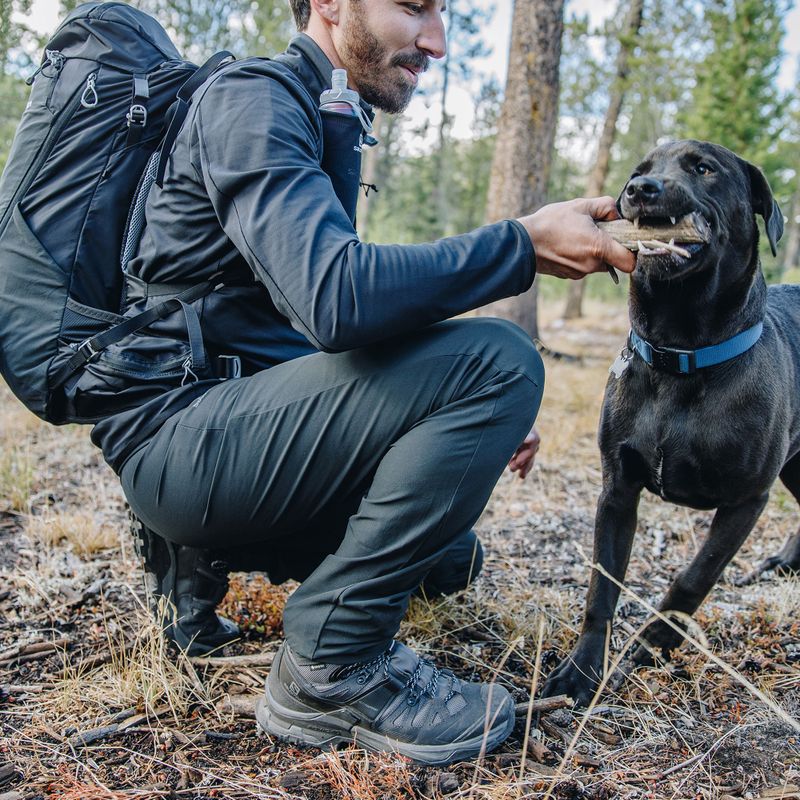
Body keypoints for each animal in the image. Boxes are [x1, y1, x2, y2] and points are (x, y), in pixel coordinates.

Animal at [540, 139, 796, 708]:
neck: (681, 355)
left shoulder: (748, 500)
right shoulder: (616, 490)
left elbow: (693, 577)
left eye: (704, 168)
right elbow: (602, 588)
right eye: (639, 171)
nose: (641, 190)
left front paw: (656, 639)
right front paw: (581, 670)